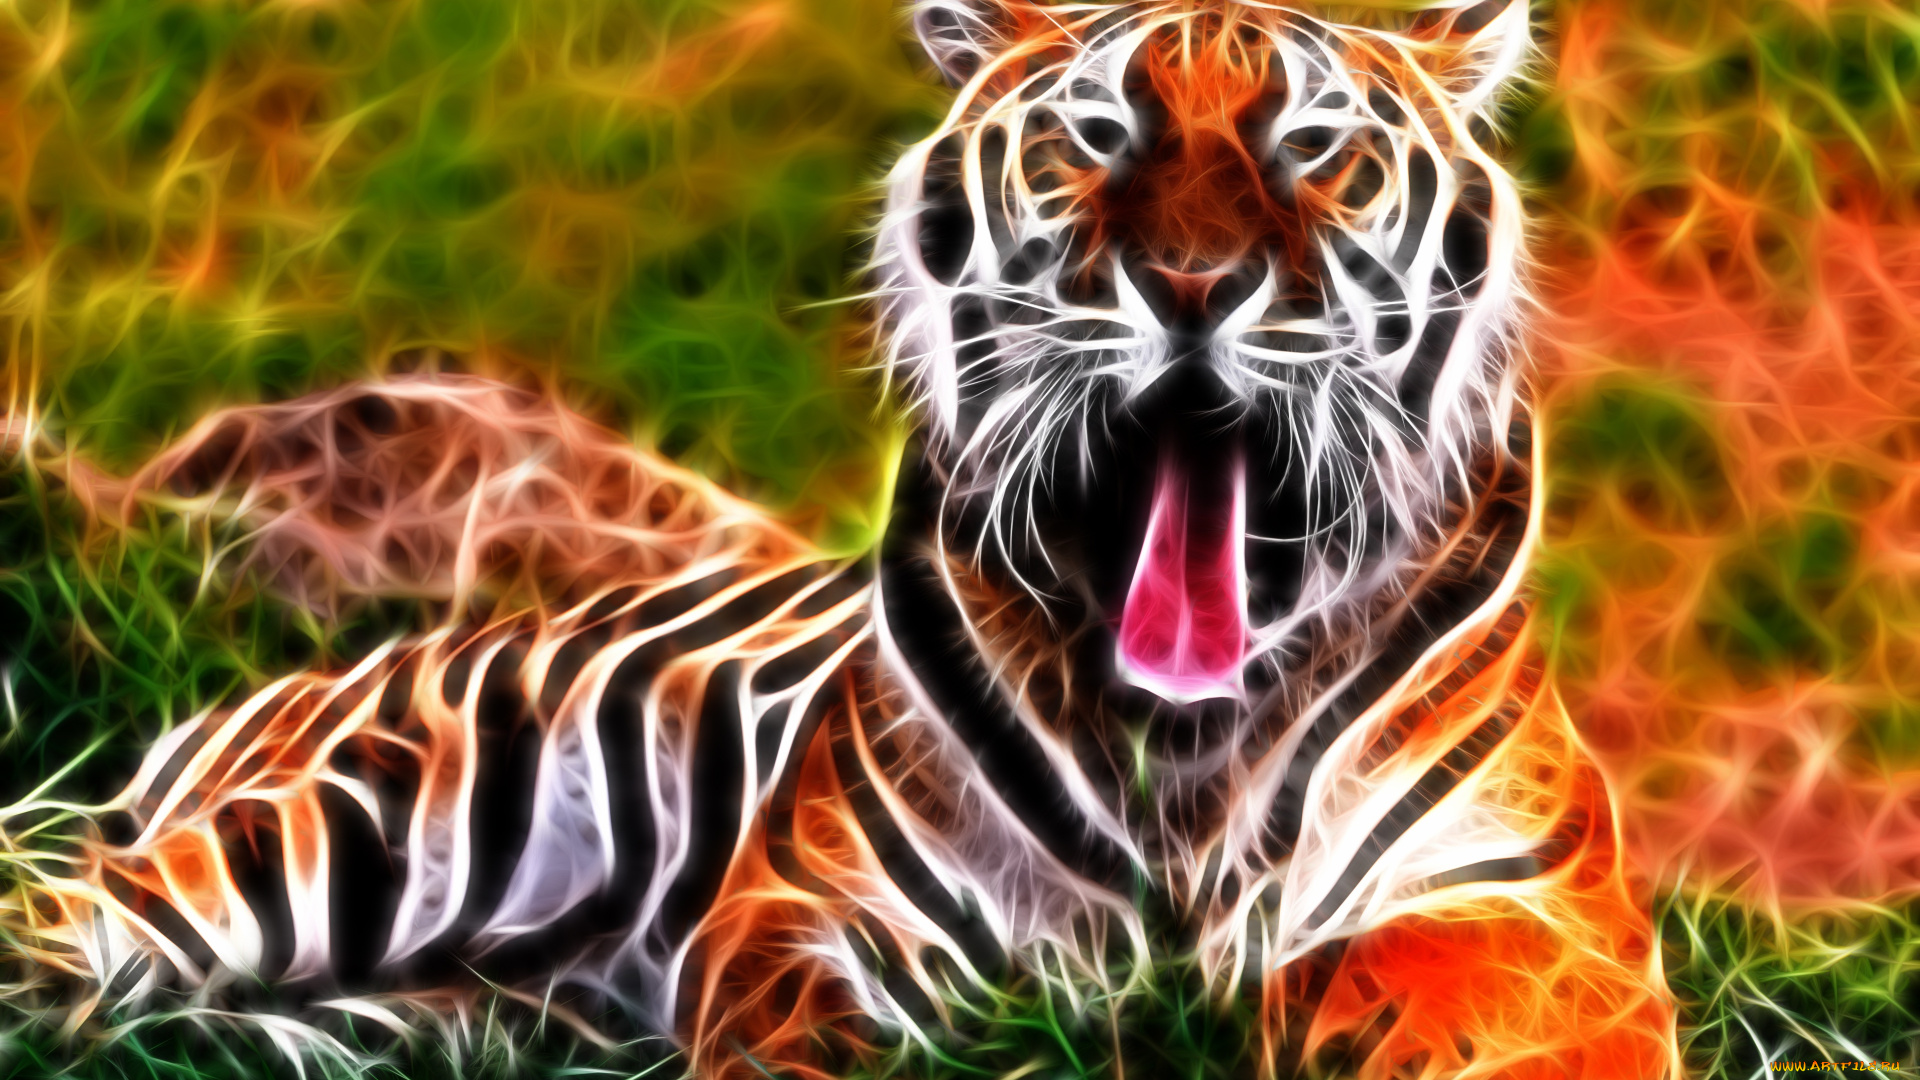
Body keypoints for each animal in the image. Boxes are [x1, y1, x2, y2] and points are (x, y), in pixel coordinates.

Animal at [0, 1, 1679, 1077]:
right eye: (1094, 136)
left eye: (1316, 146)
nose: (1194, 284)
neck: (1190, 741)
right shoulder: (818, 915)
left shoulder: (1542, 915)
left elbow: (1414, 985)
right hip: (347, 826)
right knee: (69, 929)